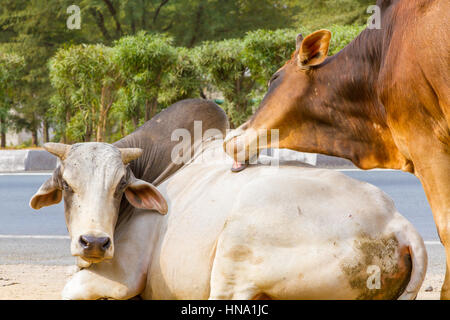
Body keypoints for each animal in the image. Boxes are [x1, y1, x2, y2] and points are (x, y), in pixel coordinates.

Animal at [30, 138, 426, 300]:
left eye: (120, 186)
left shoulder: (122, 276)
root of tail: (395, 220)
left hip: (235, 258)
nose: (94, 242)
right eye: (66, 185)